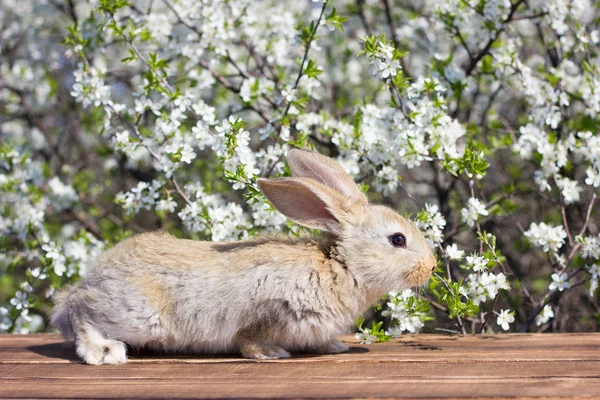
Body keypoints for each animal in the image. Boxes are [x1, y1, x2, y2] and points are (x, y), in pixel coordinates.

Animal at [51, 148, 434, 364]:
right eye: (397, 240)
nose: (430, 267)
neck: (339, 265)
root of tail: (92, 277)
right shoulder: (267, 310)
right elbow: (249, 340)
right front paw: (272, 355)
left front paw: (335, 347)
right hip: (138, 315)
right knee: (81, 312)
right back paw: (104, 353)